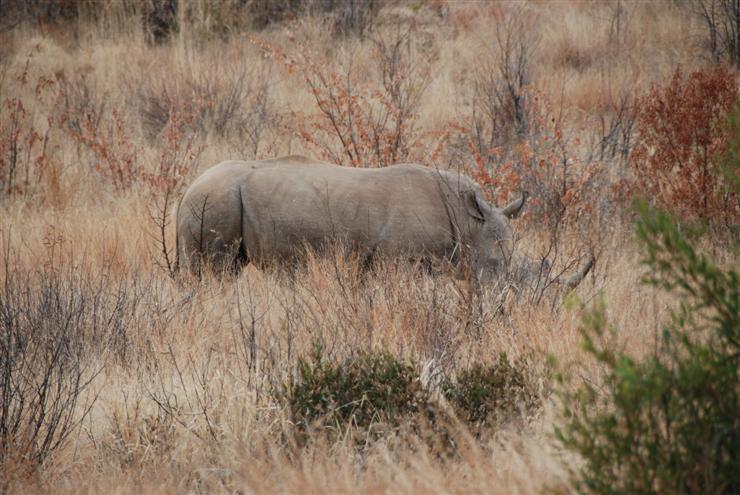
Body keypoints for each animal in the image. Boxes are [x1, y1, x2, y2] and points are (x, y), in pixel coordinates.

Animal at [175, 155, 592, 288]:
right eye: (496, 266)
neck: (469, 222)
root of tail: (185, 190)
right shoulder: (401, 263)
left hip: (214, 200)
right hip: (214, 201)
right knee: (214, 273)